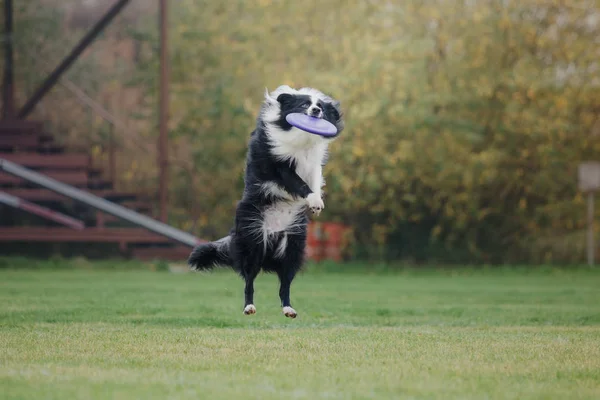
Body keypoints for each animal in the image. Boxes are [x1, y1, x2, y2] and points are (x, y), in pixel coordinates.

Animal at [190, 85, 344, 318]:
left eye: (321, 107)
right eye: (304, 105)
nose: (316, 111)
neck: (302, 138)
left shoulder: (313, 163)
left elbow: (315, 181)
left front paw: (316, 202)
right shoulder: (278, 163)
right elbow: (298, 182)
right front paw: (311, 199)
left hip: (293, 248)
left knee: (284, 285)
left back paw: (289, 309)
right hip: (253, 243)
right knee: (249, 281)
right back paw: (249, 307)